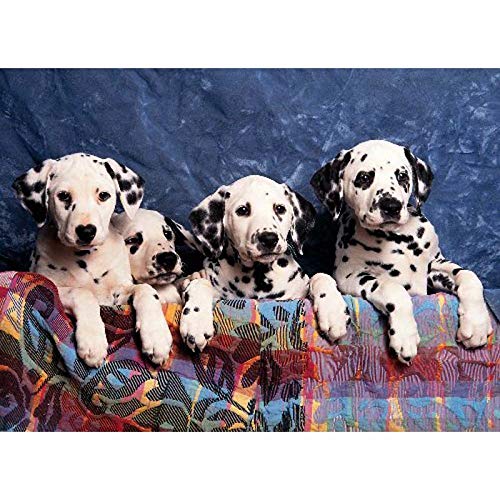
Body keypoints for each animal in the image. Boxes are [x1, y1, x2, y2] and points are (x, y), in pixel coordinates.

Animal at [13, 153, 173, 368]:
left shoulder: (117, 294)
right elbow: (82, 293)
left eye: (103, 195)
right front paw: (92, 339)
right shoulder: (54, 286)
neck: (86, 259)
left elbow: (146, 289)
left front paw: (157, 335)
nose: (86, 231)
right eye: (64, 196)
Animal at [178, 174, 350, 351]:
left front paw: (333, 312)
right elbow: (200, 283)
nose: (268, 238)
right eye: (243, 210)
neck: (258, 275)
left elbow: (321, 276)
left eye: (280, 208)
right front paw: (196, 322)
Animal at [310, 139, 492, 364]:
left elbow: (468, 275)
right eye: (364, 178)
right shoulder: (351, 277)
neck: (396, 238)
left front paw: (477, 323)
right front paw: (405, 335)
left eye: (402, 176)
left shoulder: (434, 268)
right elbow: (393, 288)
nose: (391, 206)